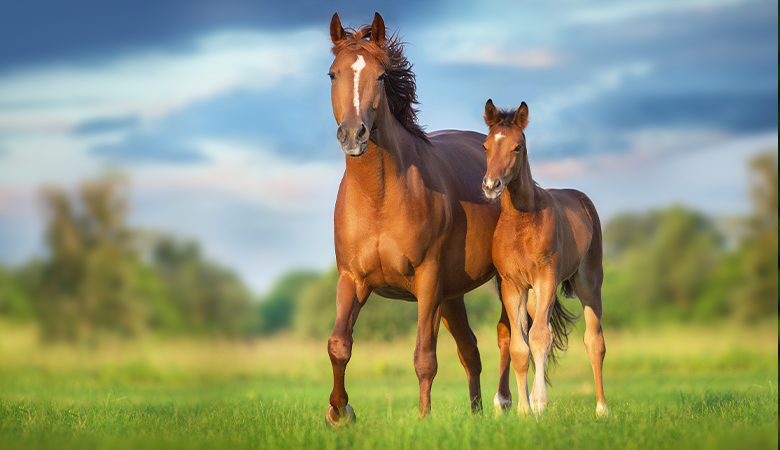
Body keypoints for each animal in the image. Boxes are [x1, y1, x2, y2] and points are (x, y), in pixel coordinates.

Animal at [326, 12, 513, 424]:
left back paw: (505, 403)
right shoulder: (352, 279)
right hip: (452, 295)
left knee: (510, 335)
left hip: (499, 282)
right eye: (333, 74)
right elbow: (339, 345)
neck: (378, 198)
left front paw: (424, 419)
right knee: (471, 351)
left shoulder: (427, 280)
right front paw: (339, 412)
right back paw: (476, 415)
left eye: (381, 76)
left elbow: (424, 357)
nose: (353, 135)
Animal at [480, 99, 609, 417]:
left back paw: (602, 409)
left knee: (594, 341)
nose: (491, 185)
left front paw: (539, 404)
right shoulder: (512, 286)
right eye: (486, 146)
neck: (520, 221)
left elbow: (539, 337)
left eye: (517, 146)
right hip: (536, 297)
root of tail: (582, 199)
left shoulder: (546, 278)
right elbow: (520, 346)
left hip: (588, 283)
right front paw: (524, 410)